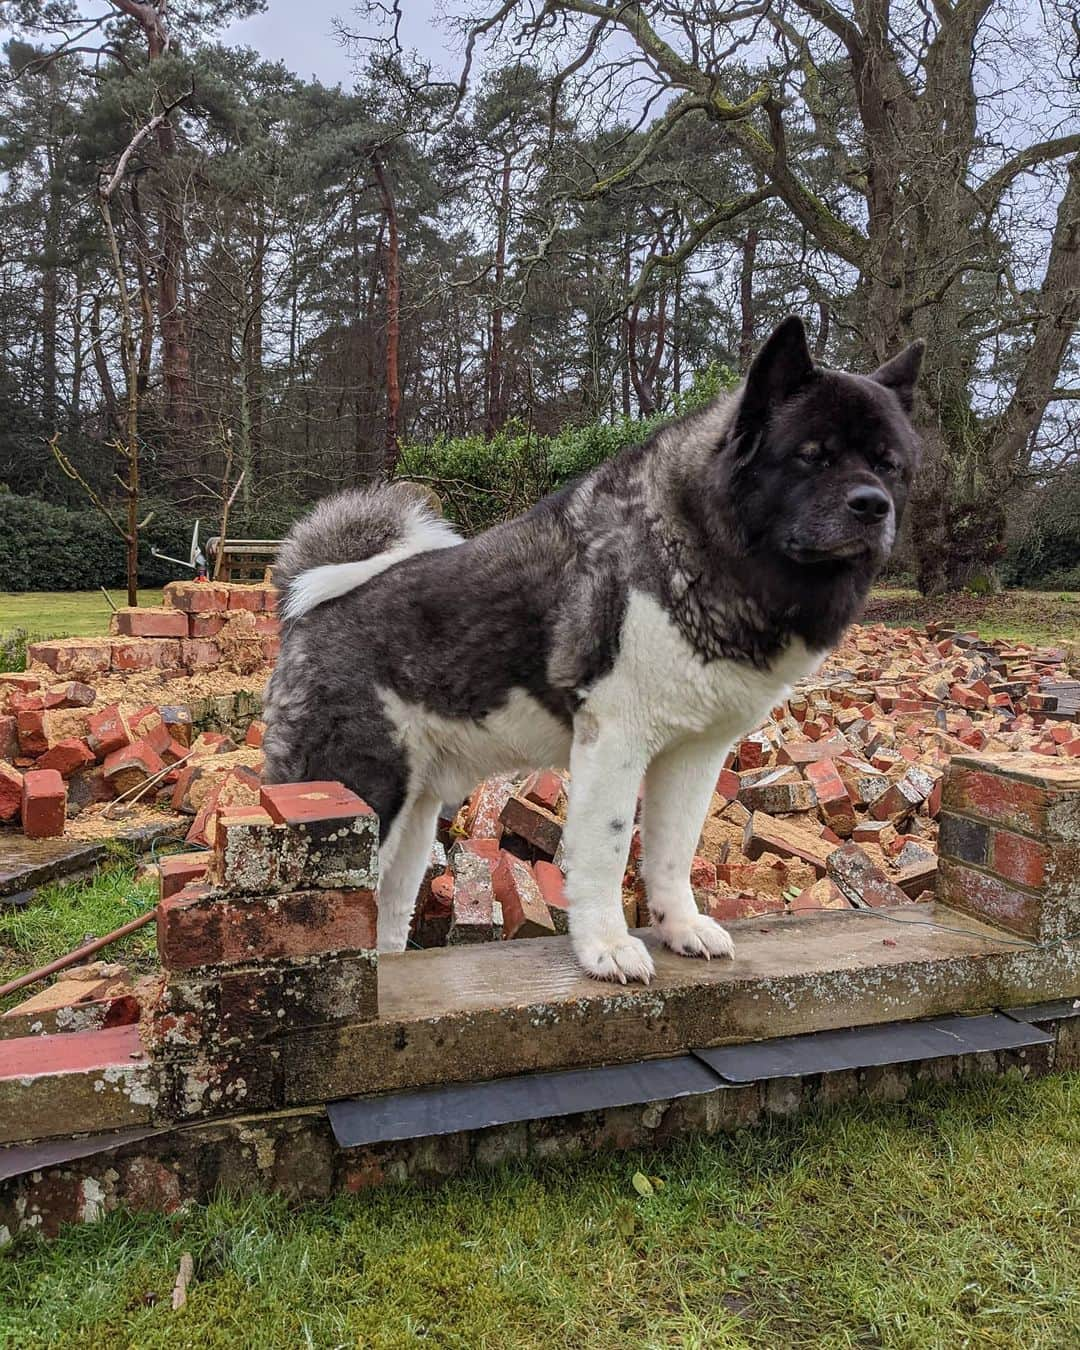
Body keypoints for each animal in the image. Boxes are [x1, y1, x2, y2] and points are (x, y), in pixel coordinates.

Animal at [265, 321, 923, 988]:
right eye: (812, 455)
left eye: (888, 465)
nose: (872, 505)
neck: (701, 541)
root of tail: (309, 609)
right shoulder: (615, 741)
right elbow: (607, 850)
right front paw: (606, 946)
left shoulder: (695, 754)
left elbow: (673, 850)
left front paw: (681, 928)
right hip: (361, 792)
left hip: (414, 816)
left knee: (388, 909)